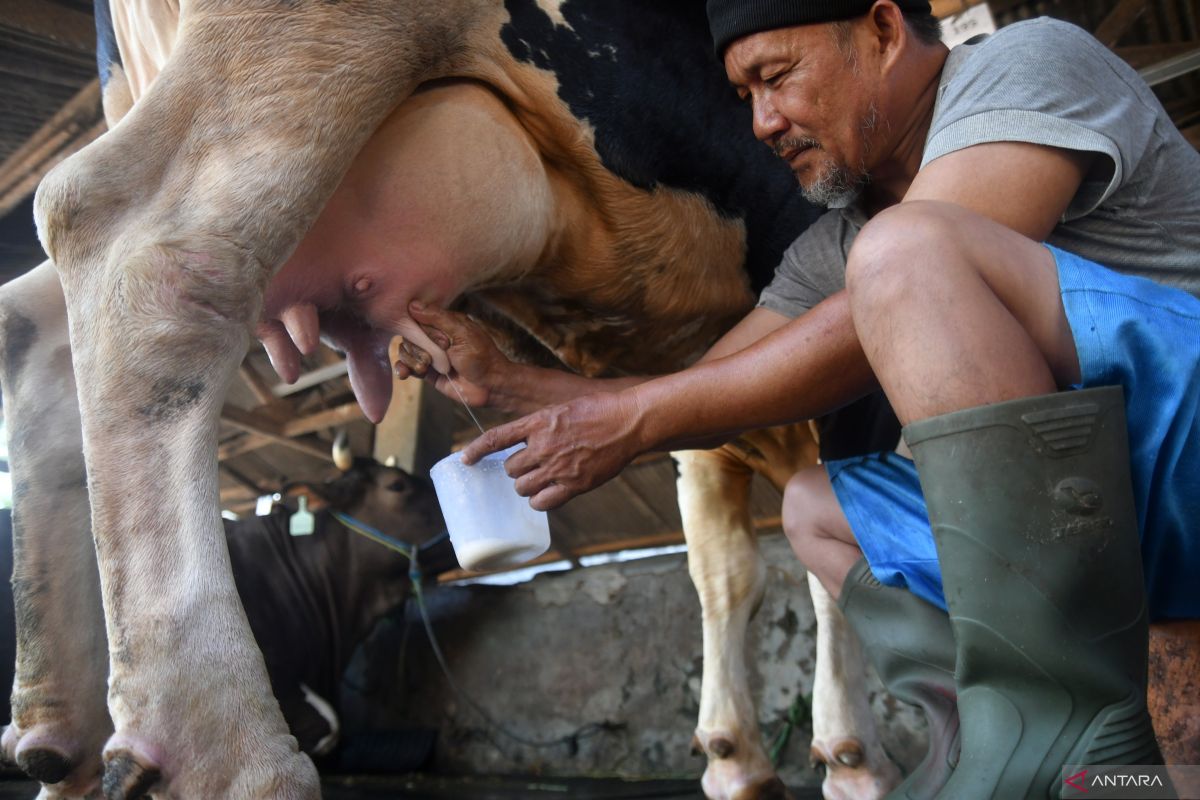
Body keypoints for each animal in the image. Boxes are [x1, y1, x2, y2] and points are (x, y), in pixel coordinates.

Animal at [0, 0, 902, 796]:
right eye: (398, 488)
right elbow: (842, 536)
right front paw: (851, 754)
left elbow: (728, 569)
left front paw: (739, 755)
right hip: (302, 46)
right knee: (143, 240)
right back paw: (229, 762)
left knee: (35, 329)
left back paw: (56, 743)